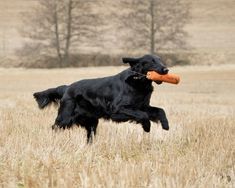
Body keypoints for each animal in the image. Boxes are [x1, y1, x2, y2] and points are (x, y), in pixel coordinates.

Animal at [33, 54, 169, 142]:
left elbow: (160, 110)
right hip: (65, 118)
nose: (166, 69)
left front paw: (165, 125)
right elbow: (143, 115)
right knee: (54, 127)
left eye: (160, 60)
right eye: (151, 61)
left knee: (90, 136)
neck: (138, 82)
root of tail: (67, 88)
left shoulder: (143, 106)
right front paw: (147, 126)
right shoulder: (118, 109)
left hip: (92, 122)